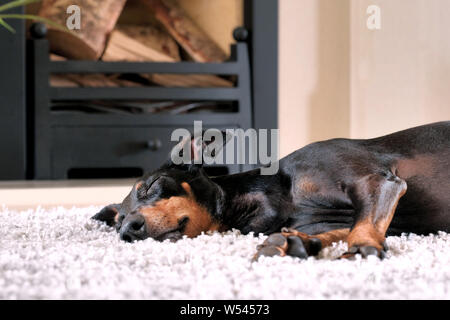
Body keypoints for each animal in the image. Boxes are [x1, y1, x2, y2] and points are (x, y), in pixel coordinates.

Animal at [93, 122, 448, 260]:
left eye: (151, 186)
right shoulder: (345, 220)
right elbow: (344, 230)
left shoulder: (377, 183)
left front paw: (361, 248)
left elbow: (361, 228)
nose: (128, 230)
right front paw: (293, 242)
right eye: (117, 222)